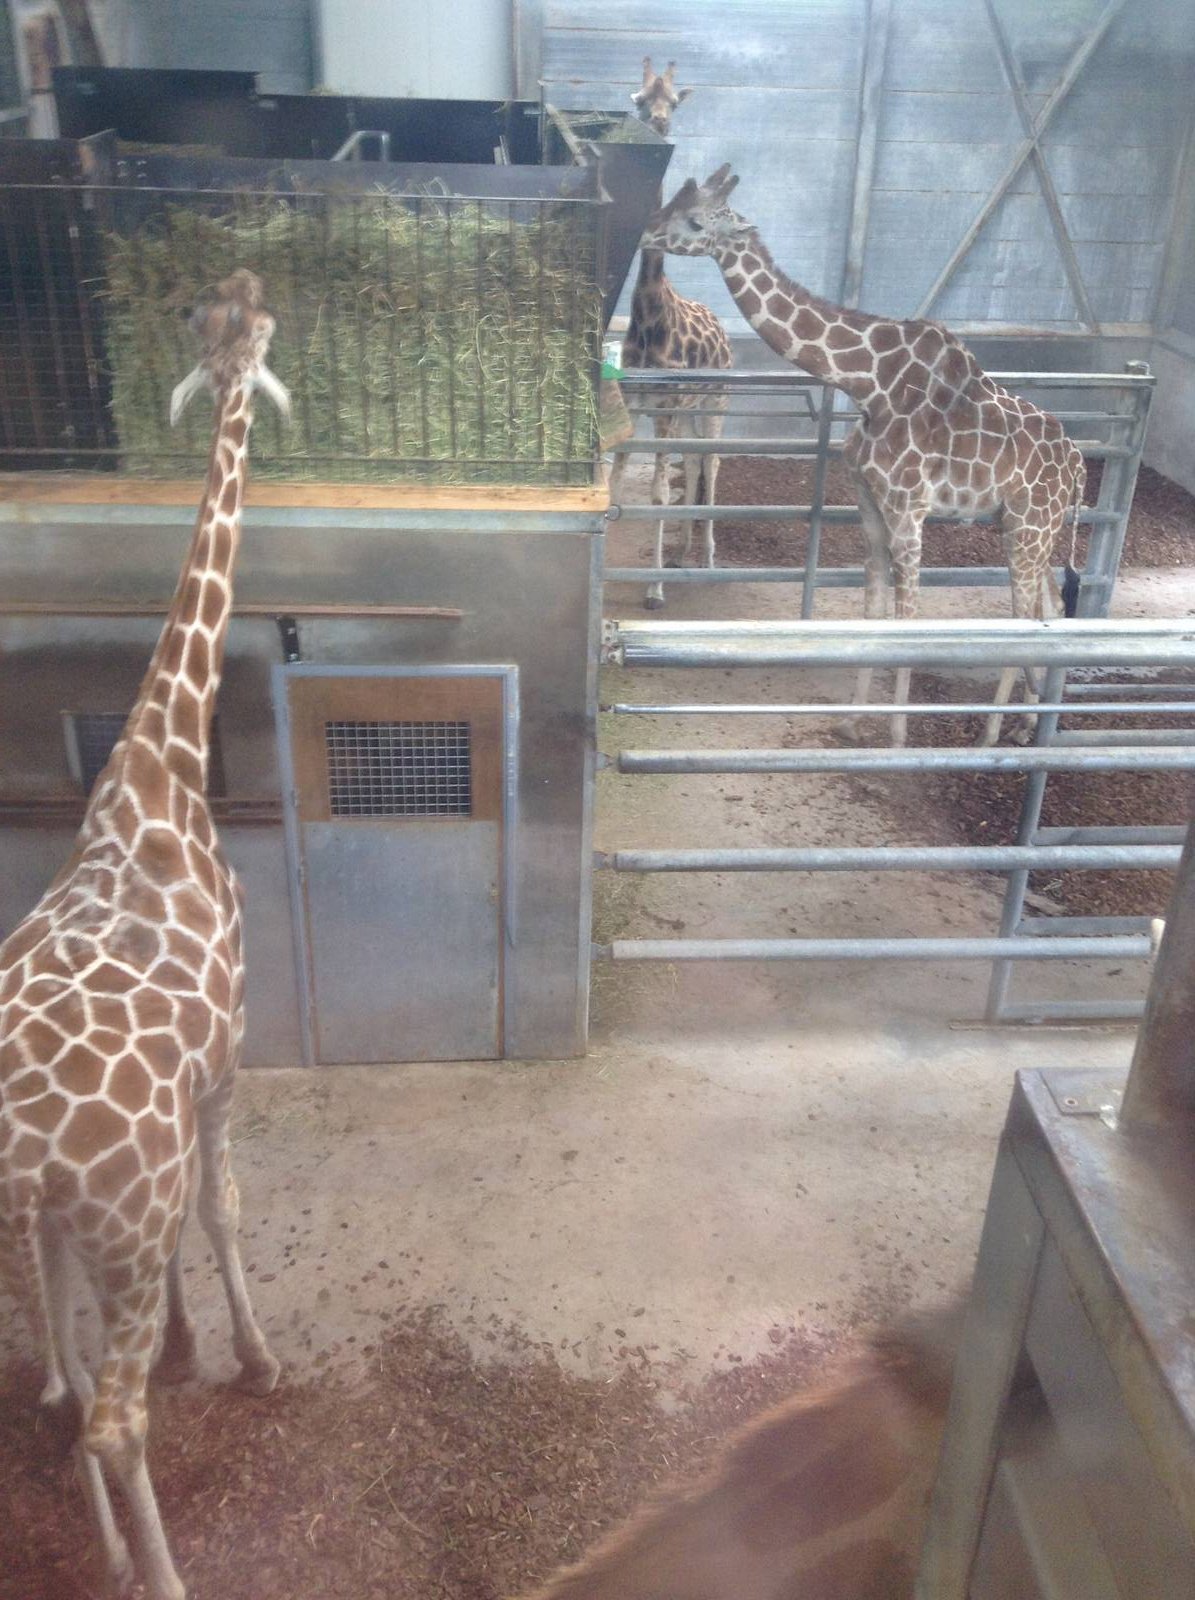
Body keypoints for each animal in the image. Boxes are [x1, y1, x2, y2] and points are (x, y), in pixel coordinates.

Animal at [641, 167, 1087, 745]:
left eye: (695, 220)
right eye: (673, 201)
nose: (647, 233)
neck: (867, 385)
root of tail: (1078, 466)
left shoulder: (909, 508)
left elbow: (907, 621)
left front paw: (896, 736)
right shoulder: (870, 504)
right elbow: (872, 612)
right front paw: (854, 720)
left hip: (1031, 526)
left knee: (1020, 615)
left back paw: (991, 735)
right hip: (1026, 524)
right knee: (1047, 606)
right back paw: (1029, 723)